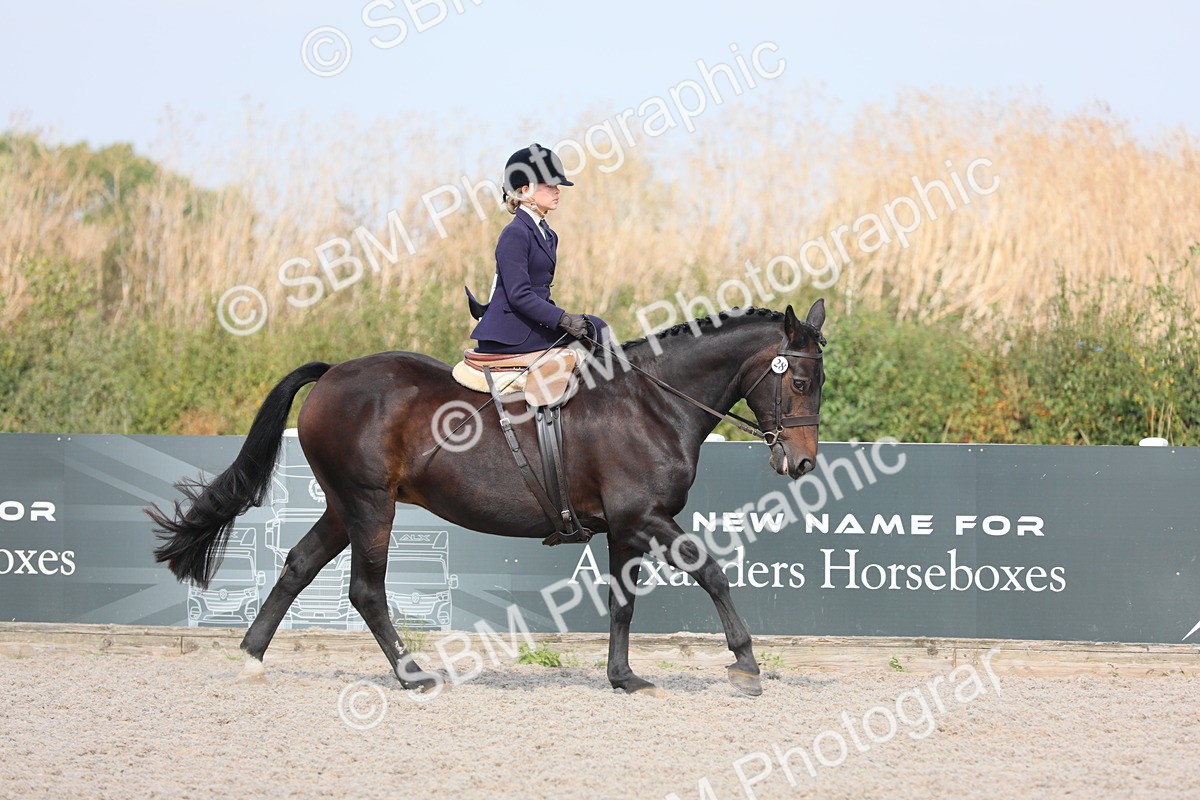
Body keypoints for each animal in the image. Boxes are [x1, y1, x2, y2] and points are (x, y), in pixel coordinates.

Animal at [148, 299, 827, 697]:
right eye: (798, 379)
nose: (802, 462)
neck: (653, 402)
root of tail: (335, 371)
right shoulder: (646, 516)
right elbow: (711, 571)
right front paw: (745, 665)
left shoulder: (625, 526)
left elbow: (622, 605)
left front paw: (624, 678)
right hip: (371, 506)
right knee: (365, 589)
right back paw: (411, 675)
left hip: (345, 506)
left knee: (298, 566)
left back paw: (252, 657)